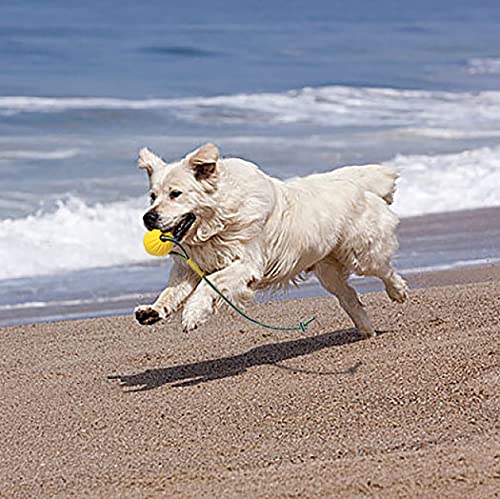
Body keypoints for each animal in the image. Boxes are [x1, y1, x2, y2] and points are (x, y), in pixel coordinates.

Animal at [134, 146, 406, 340]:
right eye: (152, 196)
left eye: (175, 194)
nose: (148, 217)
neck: (217, 223)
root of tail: (355, 183)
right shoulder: (190, 266)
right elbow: (171, 292)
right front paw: (152, 310)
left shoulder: (247, 264)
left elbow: (211, 282)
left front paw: (193, 314)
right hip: (328, 270)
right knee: (348, 295)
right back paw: (366, 329)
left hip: (361, 254)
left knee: (384, 270)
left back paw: (398, 292)